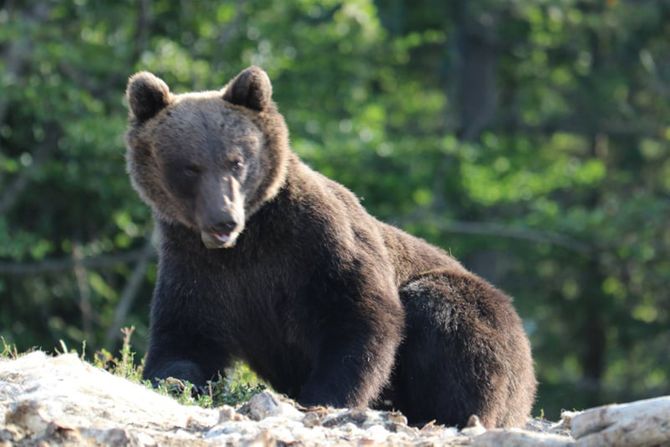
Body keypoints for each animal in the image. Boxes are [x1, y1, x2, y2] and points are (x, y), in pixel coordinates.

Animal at [124, 65, 536, 428]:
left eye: (236, 161)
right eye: (189, 167)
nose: (223, 219)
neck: (249, 243)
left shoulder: (316, 245)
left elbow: (358, 316)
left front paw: (321, 398)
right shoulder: (195, 267)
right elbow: (184, 340)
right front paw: (176, 381)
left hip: (484, 318)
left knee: (443, 313)